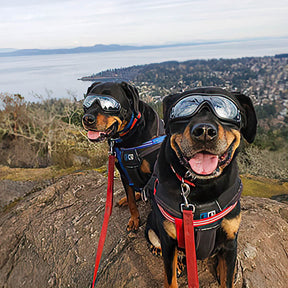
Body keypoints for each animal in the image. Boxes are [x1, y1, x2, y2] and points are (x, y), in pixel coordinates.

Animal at [82, 81, 165, 232]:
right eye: (87, 103)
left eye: (109, 106)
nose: (87, 118)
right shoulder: (124, 174)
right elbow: (131, 200)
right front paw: (134, 219)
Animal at [146, 87, 256, 288]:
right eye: (183, 110)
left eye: (226, 110)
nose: (204, 131)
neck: (202, 186)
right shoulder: (169, 241)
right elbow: (170, 278)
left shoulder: (230, 242)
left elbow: (227, 279)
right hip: (152, 227)